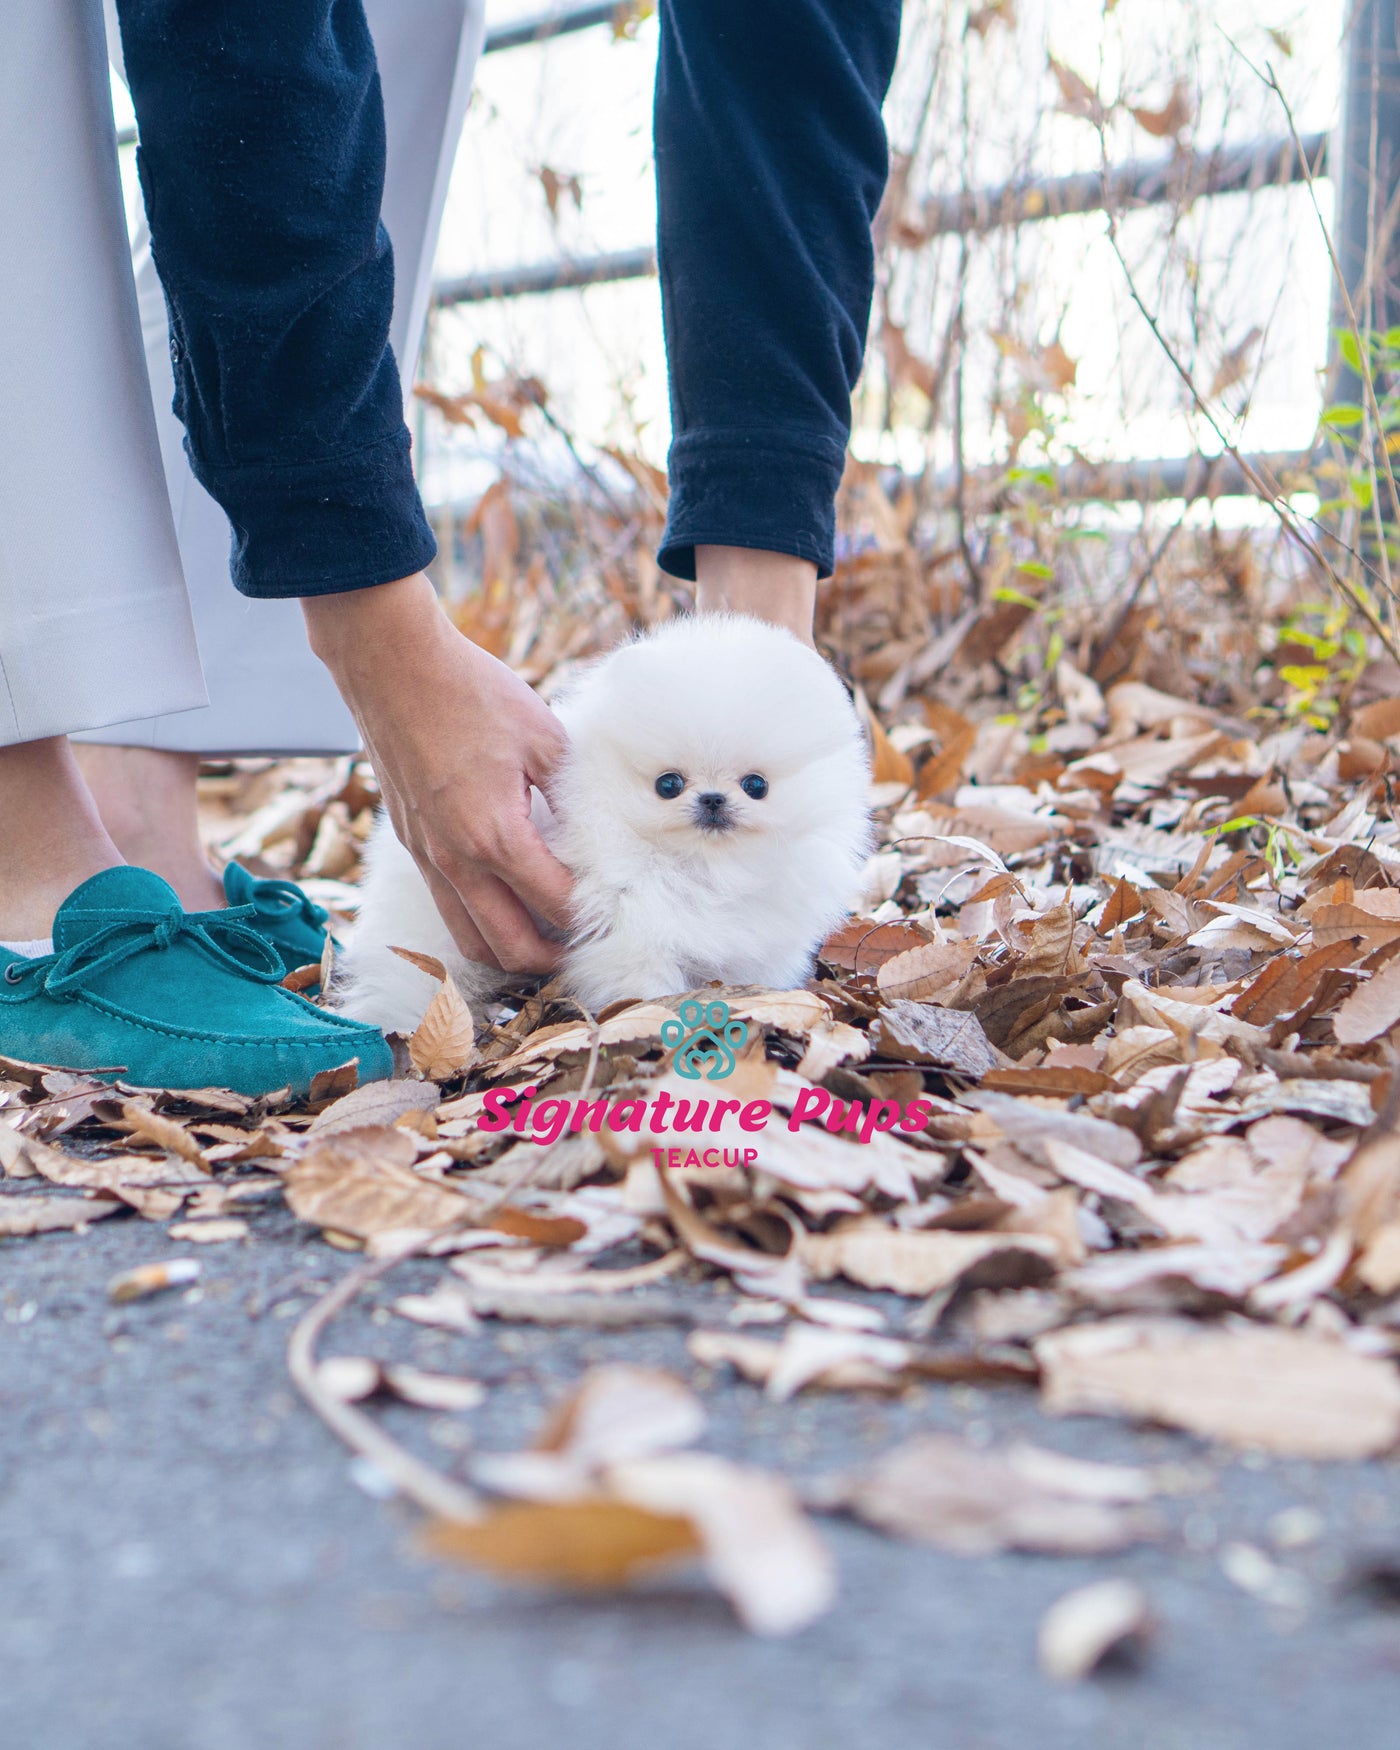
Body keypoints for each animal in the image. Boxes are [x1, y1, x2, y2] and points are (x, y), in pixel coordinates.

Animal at [332, 616, 868, 1029]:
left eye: (756, 785)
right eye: (668, 784)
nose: (713, 800)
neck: (707, 868)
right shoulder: (631, 927)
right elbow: (642, 977)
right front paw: (652, 1015)